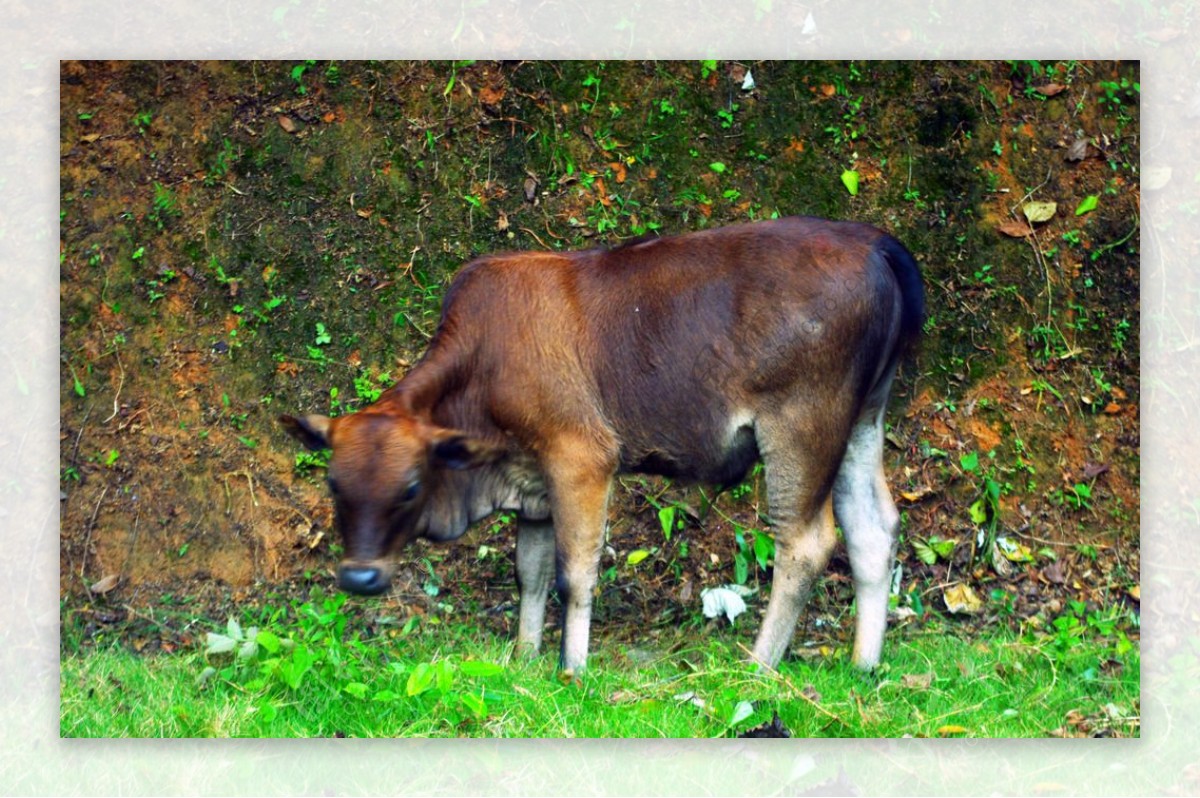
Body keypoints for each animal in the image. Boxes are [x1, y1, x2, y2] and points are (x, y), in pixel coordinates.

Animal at [278, 216, 916, 672]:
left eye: (410, 487)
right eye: (334, 484)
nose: (360, 579)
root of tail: (875, 243)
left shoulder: (581, 459)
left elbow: (574, 572)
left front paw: (572, 668)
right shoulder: (534, 482)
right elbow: (530, 572)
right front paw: (525, 657)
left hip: (801, 428)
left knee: (805, 543)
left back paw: (757, 666)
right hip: (862, 422)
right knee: (873, 529)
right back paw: (863, 665)